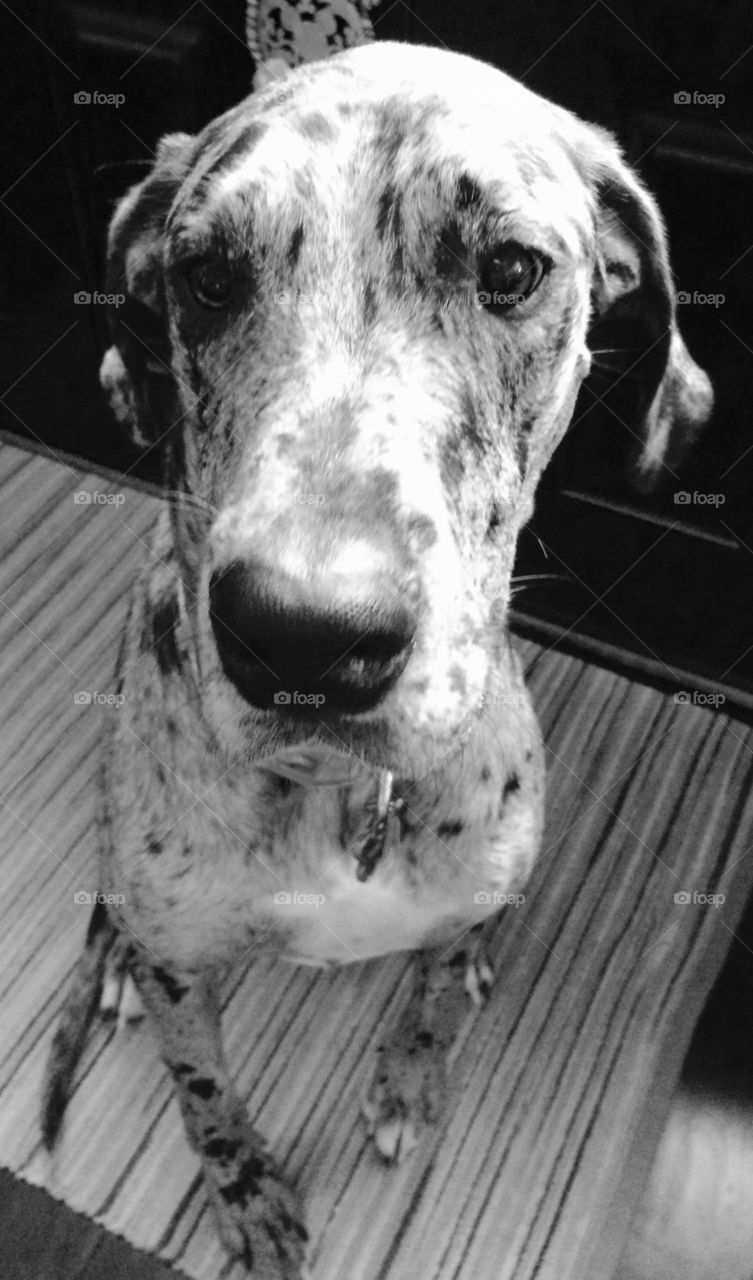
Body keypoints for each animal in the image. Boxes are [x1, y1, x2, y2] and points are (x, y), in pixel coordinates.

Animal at [41, 42, 712, 1280]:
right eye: (205, 275)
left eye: (512, 267)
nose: (303, 634)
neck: (341, 792)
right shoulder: (185, 976)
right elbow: (203, 1090)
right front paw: (246, 1192)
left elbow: (434, 991)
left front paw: (412, 1072)